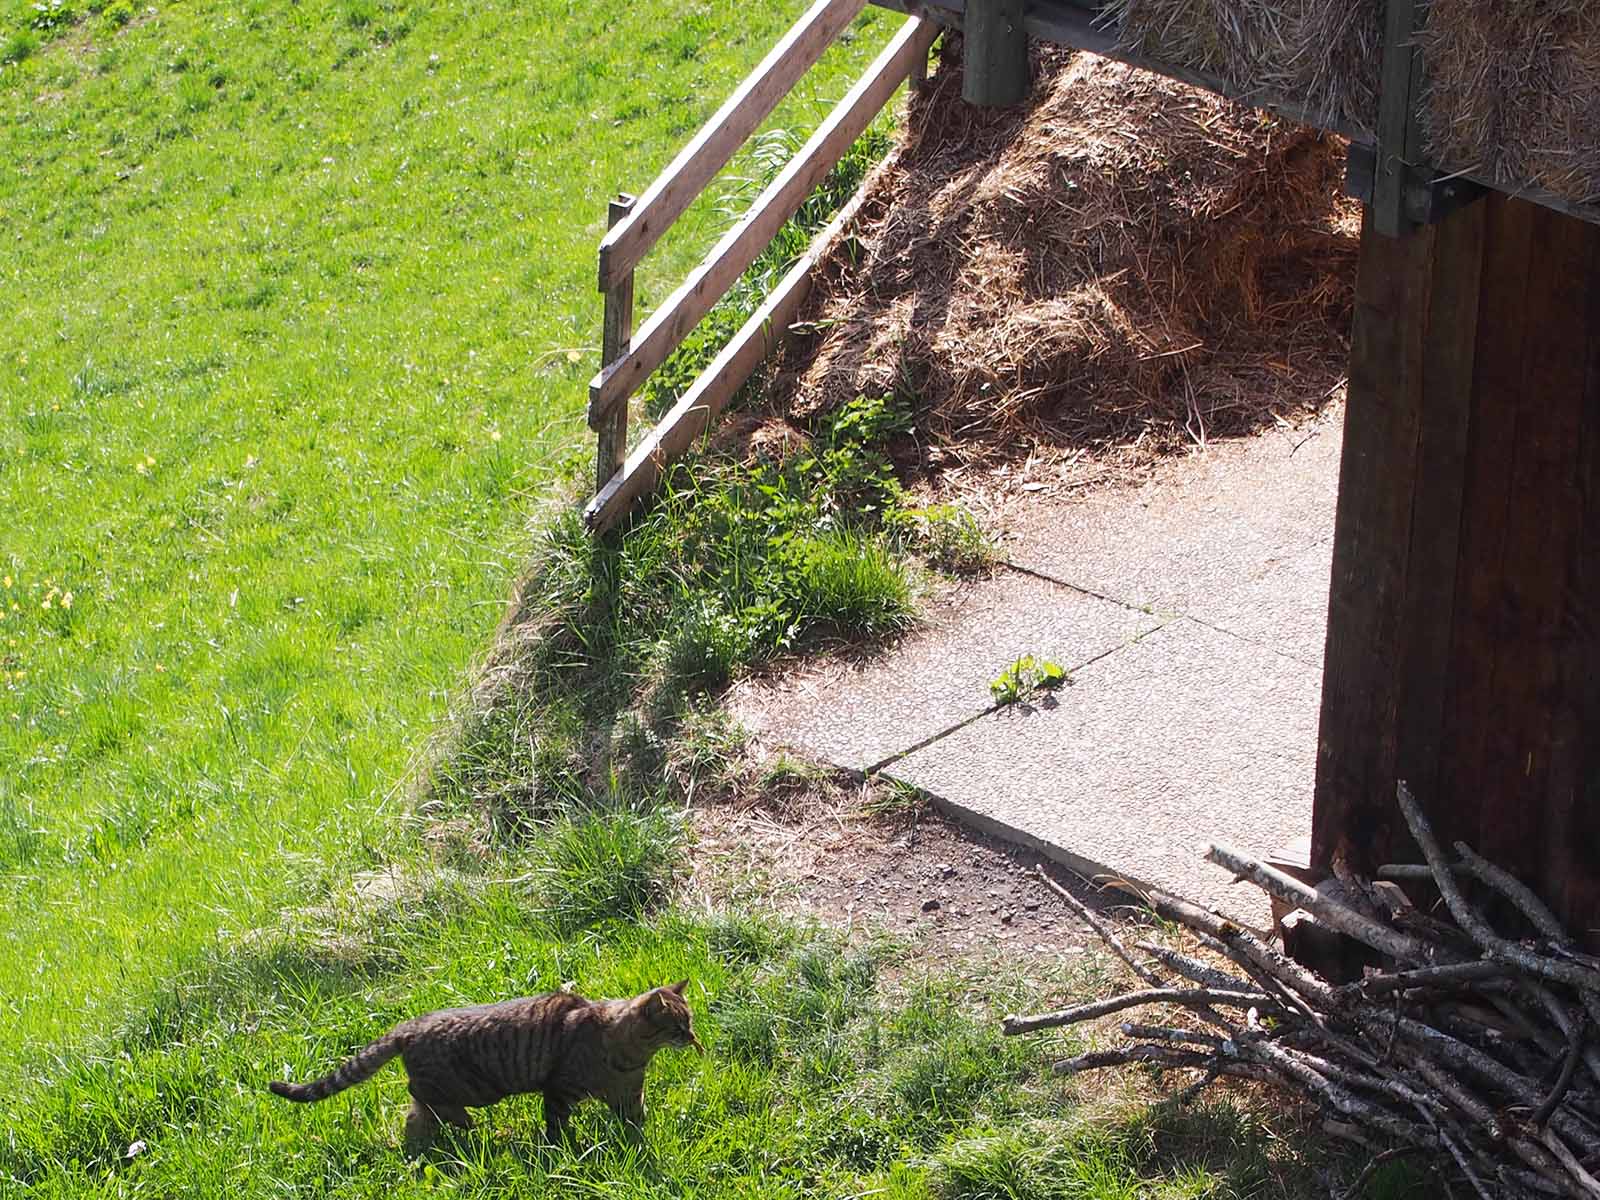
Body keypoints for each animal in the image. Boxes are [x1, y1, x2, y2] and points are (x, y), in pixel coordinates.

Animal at [265, 979, 697, 1158]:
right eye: (678, 1027)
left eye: (689, 1023)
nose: (694, 1039)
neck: (632, 1054)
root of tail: (409, 1026)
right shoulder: (559, 1089)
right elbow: (557, 1128)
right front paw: (564, 1149)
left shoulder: (629, 1094)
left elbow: (636, 1123)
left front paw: (639, 1143)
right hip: (467, 1087)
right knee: (420, 1099)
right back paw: (464, 1126)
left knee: (415, 1117)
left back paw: (424, 1147)